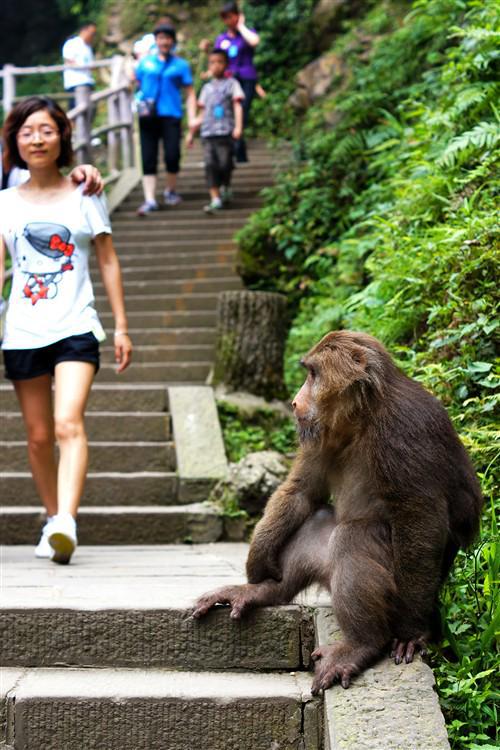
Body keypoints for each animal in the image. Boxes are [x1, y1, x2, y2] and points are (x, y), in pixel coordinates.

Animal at [192, 332, 484, 692]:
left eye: (312, 374)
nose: (294, 402)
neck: (363, 415)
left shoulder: (403, 431)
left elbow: (422, 517)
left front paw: (413, 629)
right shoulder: (320, 432)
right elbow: (302, 491)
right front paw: (258, 561)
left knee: (353, 536)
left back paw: (362, 643)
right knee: (316, 520)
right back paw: (267, 590)